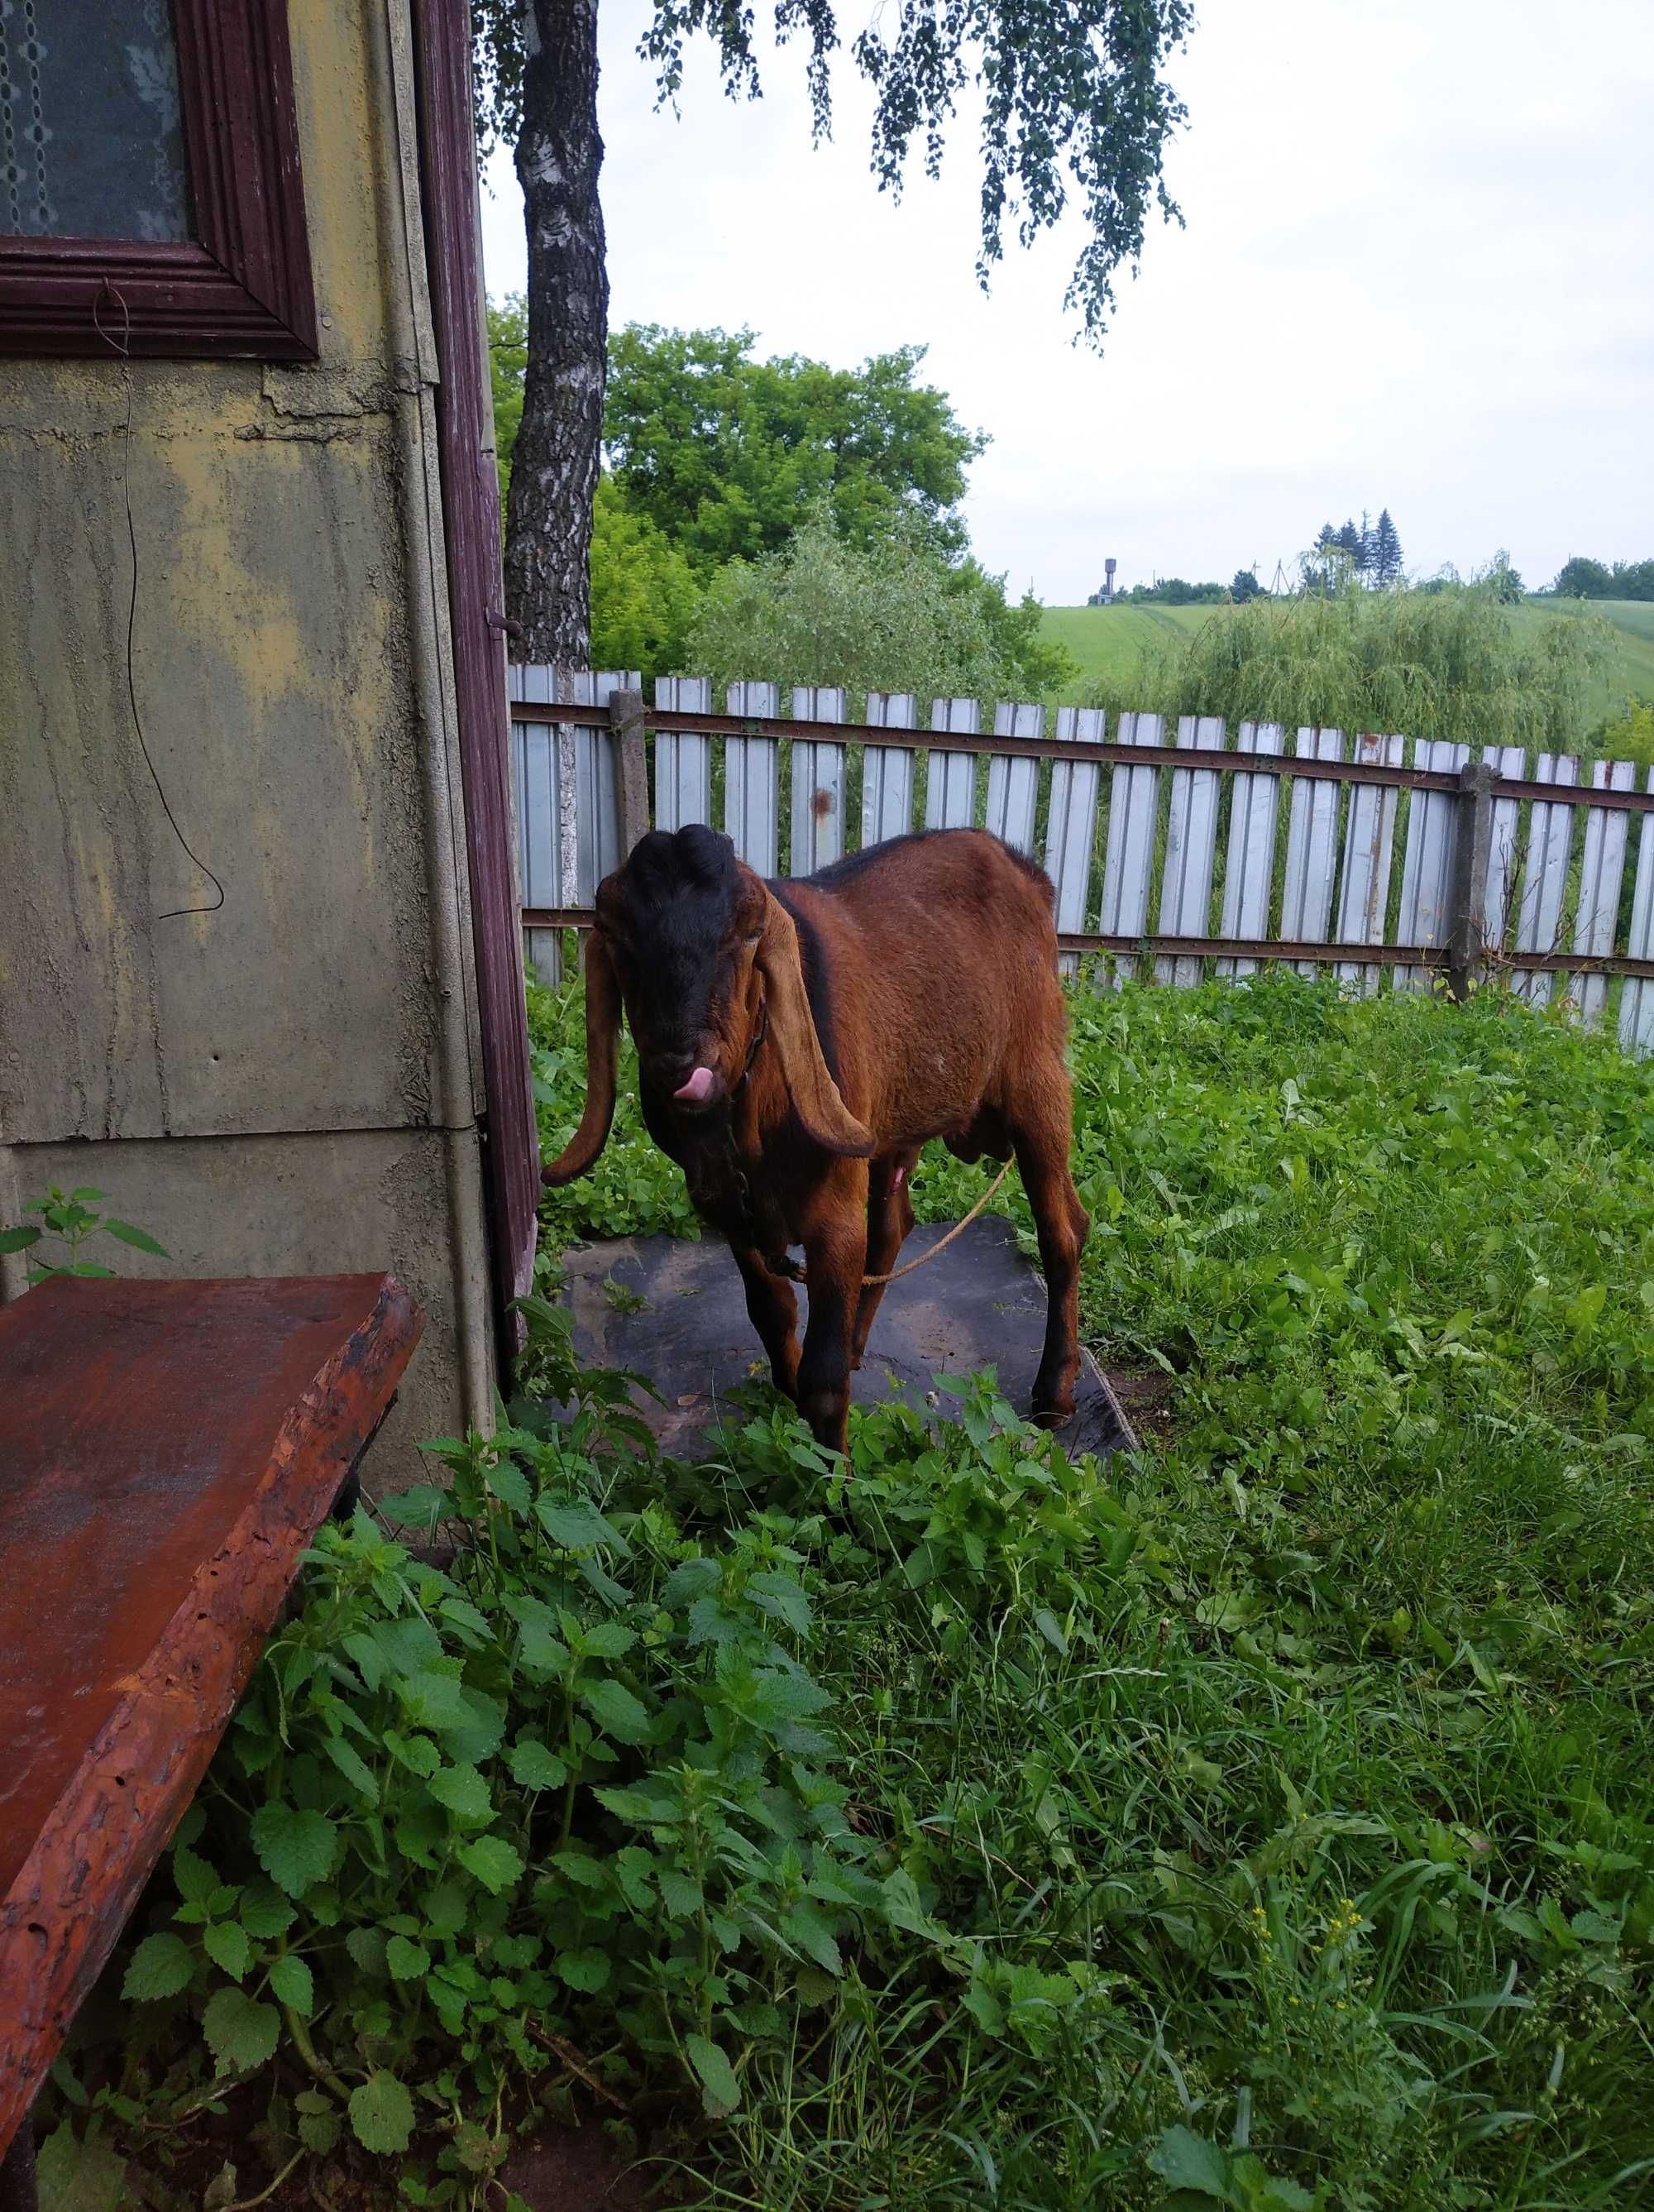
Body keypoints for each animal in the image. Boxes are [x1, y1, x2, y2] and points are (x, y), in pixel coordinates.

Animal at [542, 827, 1083, 1451]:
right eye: (621, 941)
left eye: (745, 935)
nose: (679, 1063)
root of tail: (1022, 869)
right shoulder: (728, 1210)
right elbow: (771, 1310)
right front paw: (791, 1394)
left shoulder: (834, 1219)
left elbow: (824, 1377)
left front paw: (833, 1475)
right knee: (897, 1226)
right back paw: (859, 1344)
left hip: (1036, 1083)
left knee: (1063, 1232)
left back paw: (1053, 1396)